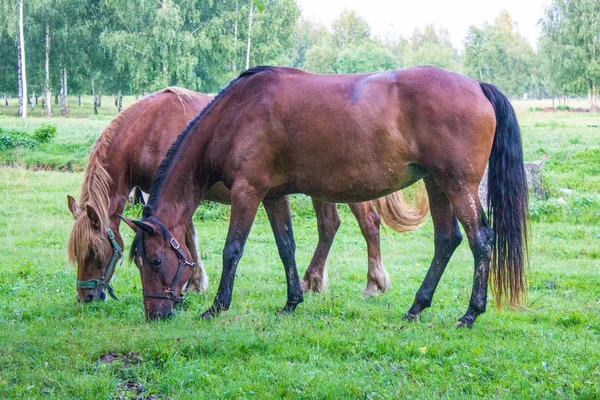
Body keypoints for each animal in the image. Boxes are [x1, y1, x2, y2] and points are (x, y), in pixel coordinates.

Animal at [68, 86, 428, 302]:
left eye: (95, 253)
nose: (86, 298)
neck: (150, 128)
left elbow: (187, 236)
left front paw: (194, 281)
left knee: (369, 224)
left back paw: (374, 283)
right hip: (323, 190)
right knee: (329, 226)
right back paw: (312, 280)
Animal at [125, 66, 524, 328]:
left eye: (156, 261)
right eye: (140, 263)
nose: (155, 314)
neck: (235, 114)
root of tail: (477, 85)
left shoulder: (248, 192)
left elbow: (232, 250)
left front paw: (217, 306)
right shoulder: (273, 196)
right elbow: (286, 246)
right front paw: (291, 302)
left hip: (457, 185)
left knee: (480, 240)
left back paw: (470, 313)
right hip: (436, 184)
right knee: (447, 240)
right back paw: (416, 307)